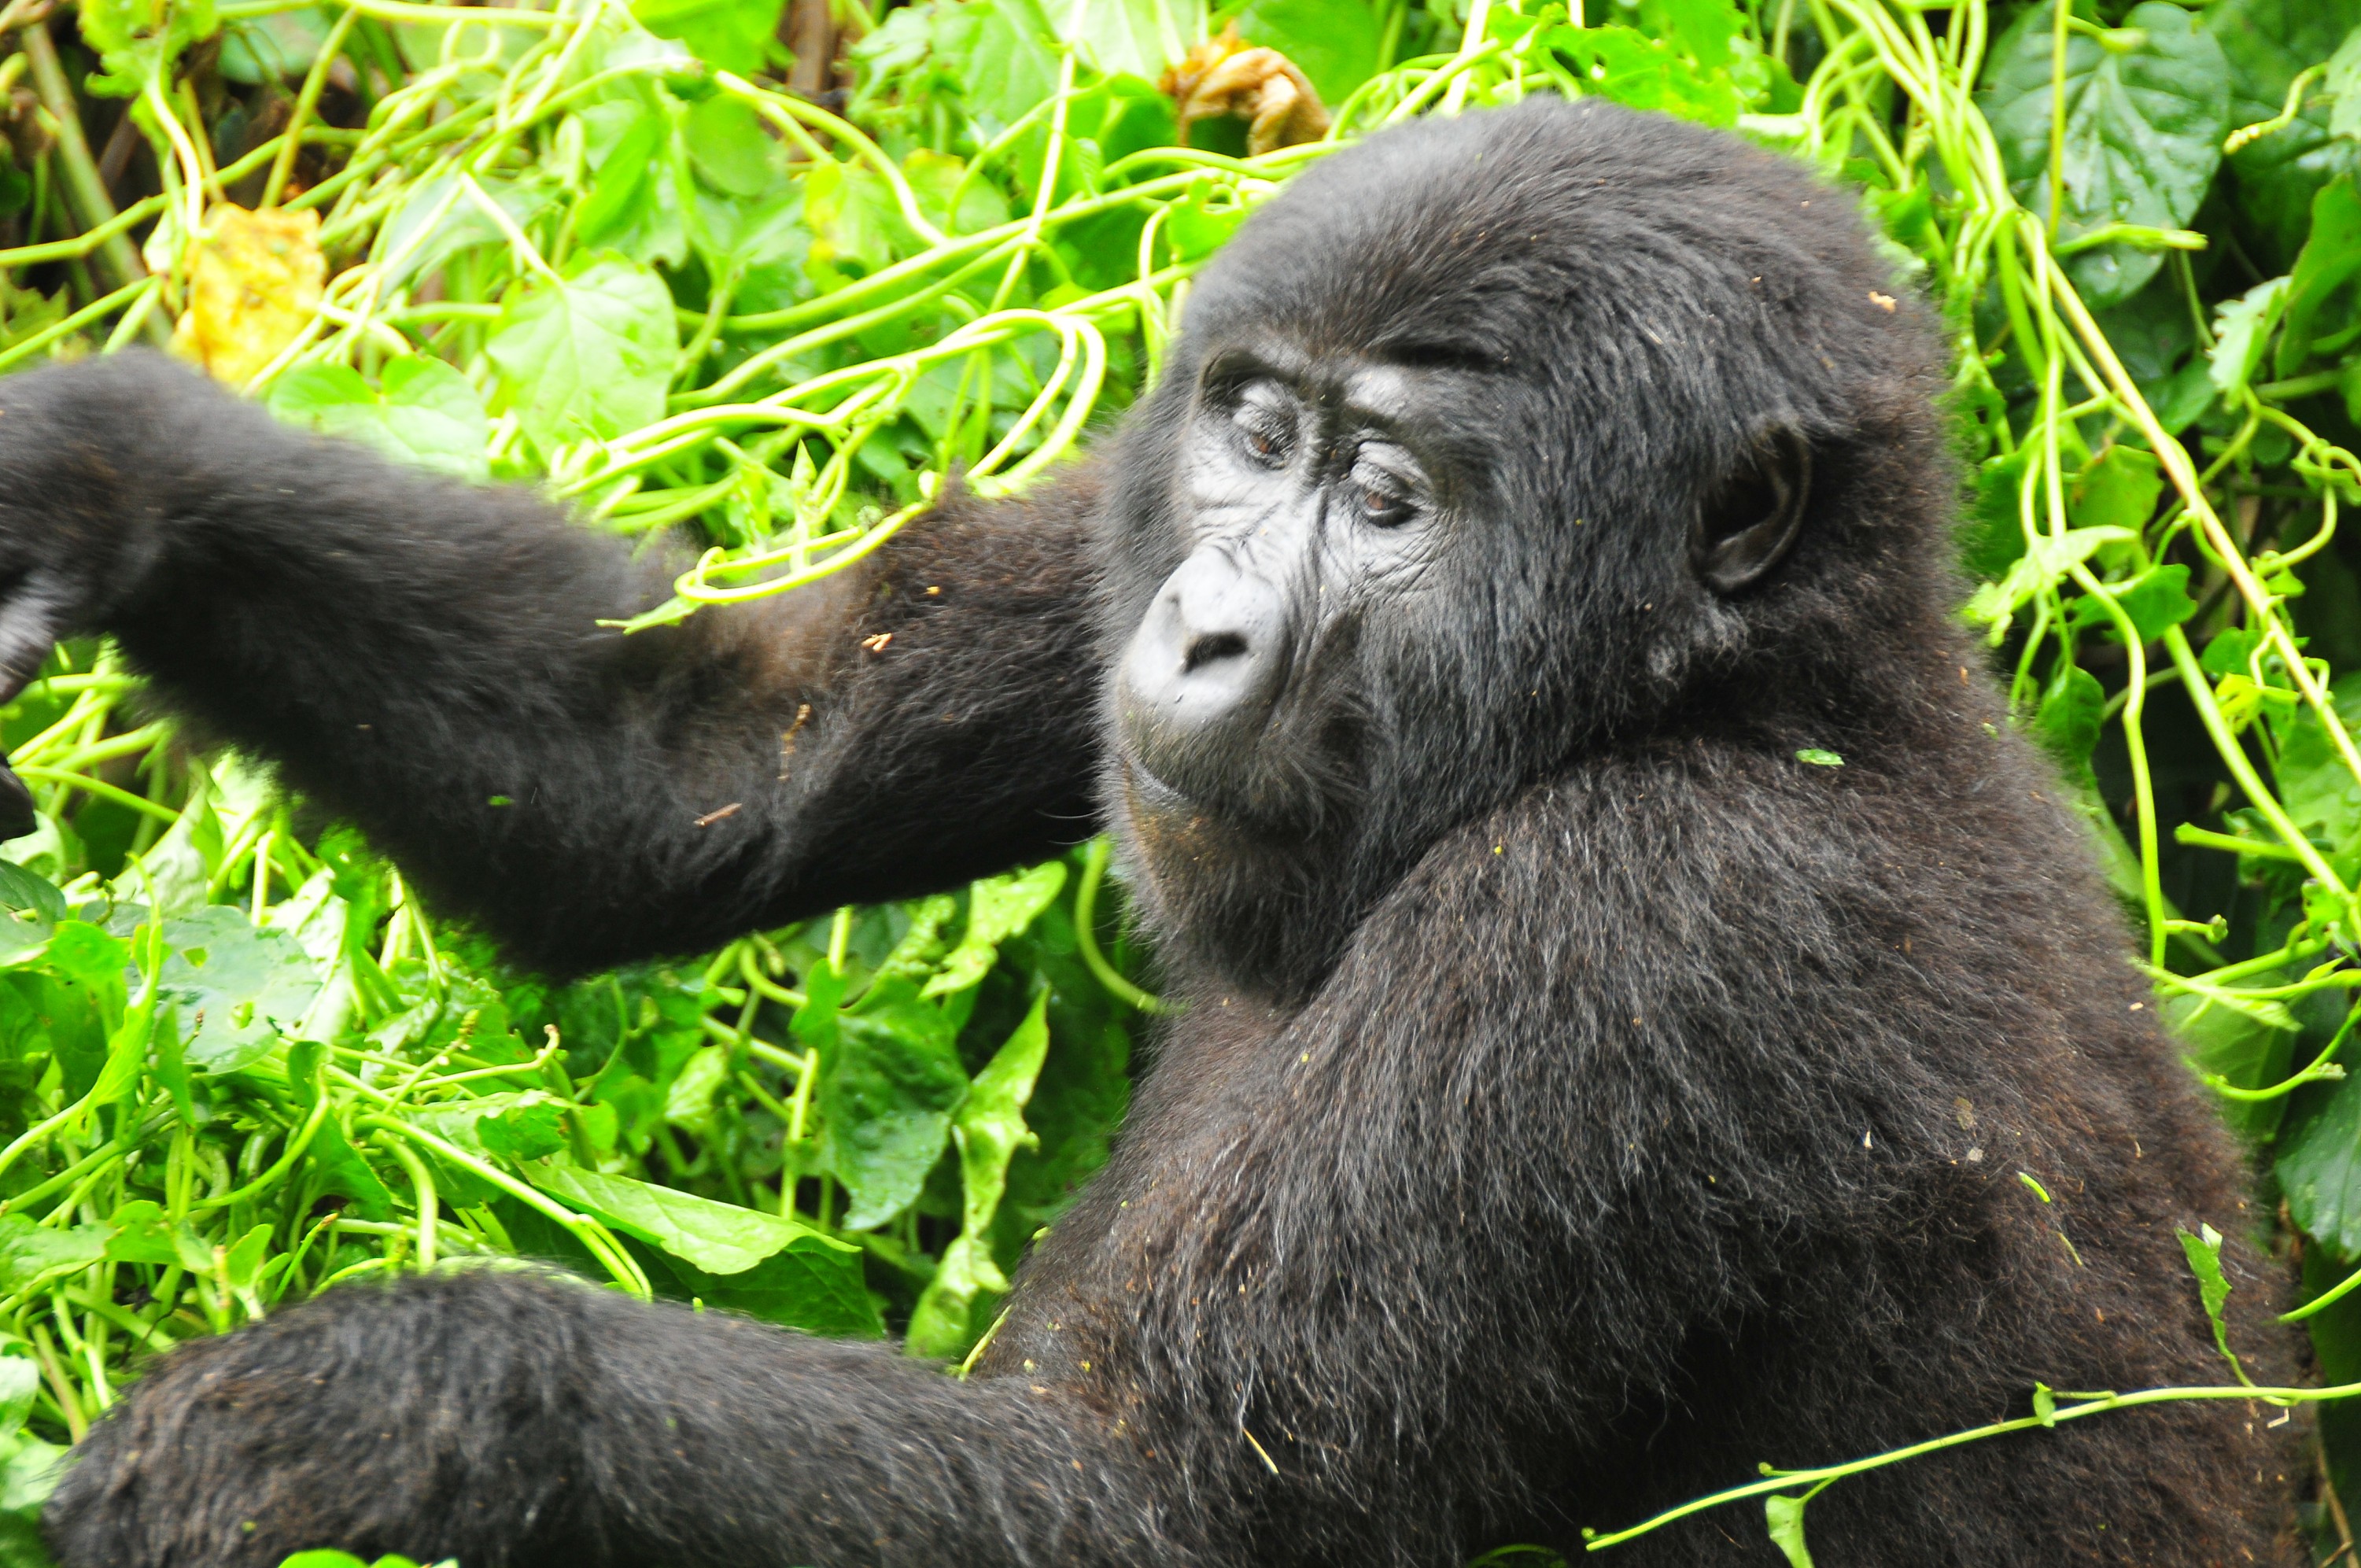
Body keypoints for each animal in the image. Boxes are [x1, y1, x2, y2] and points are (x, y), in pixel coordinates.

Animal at [0, 98, 2285, 1568]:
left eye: (1391, 502)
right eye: (1256, 434)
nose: (1196, 629)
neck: (1747, 691)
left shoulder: (1645, 912)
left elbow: (1146, 1516)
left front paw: (399, 1397)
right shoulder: (1127, 504)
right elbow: (685, 755)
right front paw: (90, 472)